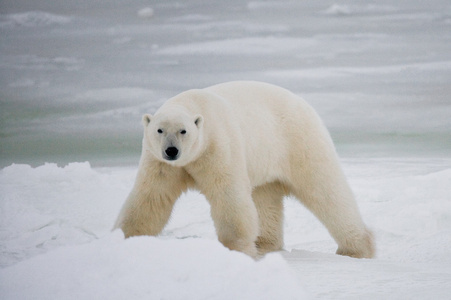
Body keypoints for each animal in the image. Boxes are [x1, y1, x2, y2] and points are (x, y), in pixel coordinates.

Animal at [115, 81, 376, 258]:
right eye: (159, 130)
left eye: (183, 131)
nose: (171, 151)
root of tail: (304, 103)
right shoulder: (159, 164)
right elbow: (150, 199)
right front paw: (122, 239)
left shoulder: (218, 147)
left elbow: (228, 197)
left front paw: (237, 249)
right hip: (266, 160)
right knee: (265, 198)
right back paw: (265, 243)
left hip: (299, 141)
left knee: (325, 190)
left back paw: (356, 248)